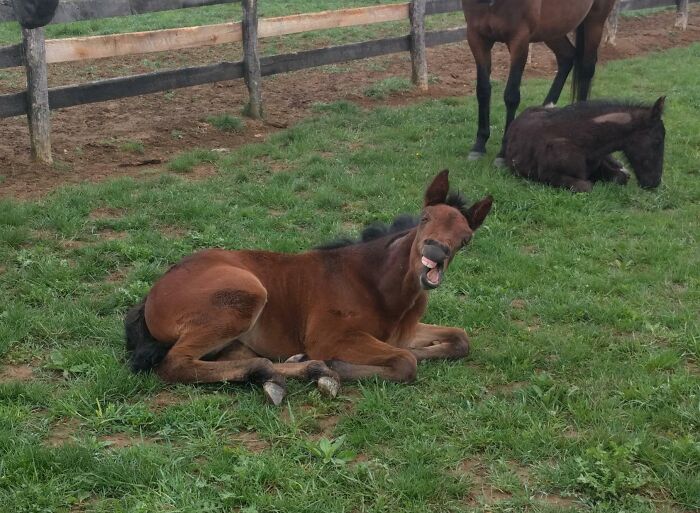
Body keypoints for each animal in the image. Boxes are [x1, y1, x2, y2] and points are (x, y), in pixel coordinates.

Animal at [125, 170, 493, 405]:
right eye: (425, 218)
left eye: (465, 238)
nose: (434, 255)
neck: (376, 284)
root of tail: (151, 296)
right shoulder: (331, 337)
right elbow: (405, 361)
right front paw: (340, 365)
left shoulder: (405, 331)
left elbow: (460, 338)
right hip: (247, 295)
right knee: (176, 363)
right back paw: (313, 369)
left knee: (238, 357)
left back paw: (297, 372)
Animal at [462, 0, 617, 165]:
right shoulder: (476, 37)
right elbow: (483, 90)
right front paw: (479, 145)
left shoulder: (520, 39)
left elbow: (511, 95)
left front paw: (503, 153)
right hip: (553, 28)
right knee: (567, 57)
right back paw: (546, 111)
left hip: (595, 21)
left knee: (586, 69)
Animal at [504, 97, 666, 192]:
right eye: (658, 140)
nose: (654, 182)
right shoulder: (549, 176)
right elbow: (587, 186)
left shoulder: (600, 163)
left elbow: (619, 177)